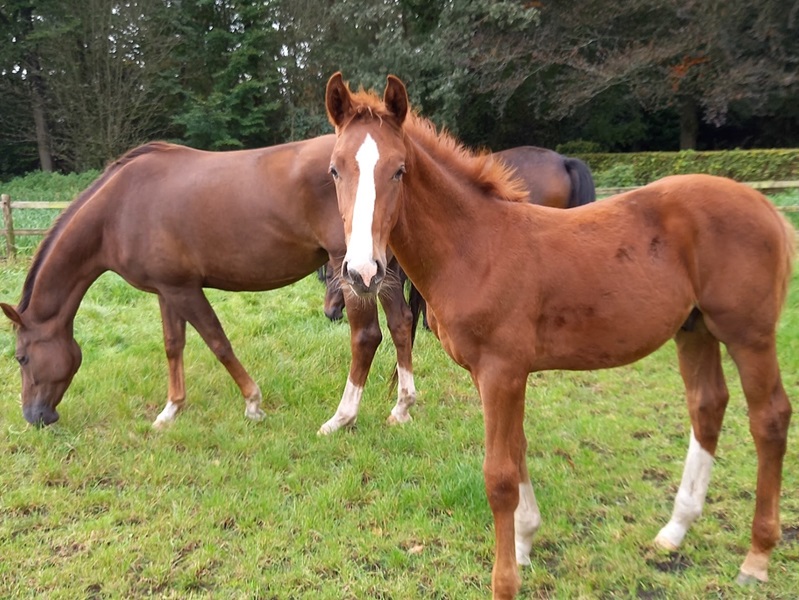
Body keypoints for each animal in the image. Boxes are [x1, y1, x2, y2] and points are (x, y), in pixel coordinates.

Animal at [1, 136, 417, 435]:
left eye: (21, 357)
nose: (34, 416)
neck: (118, 209)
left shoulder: (184, 291)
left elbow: (217, 342)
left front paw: (253, 404)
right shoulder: (167, 290)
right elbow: (173, 346)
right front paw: (170, 411)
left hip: (353, 270)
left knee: (366, 337)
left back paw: (341, 419)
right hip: (377, 273)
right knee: (401, 324)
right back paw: (401, 407)